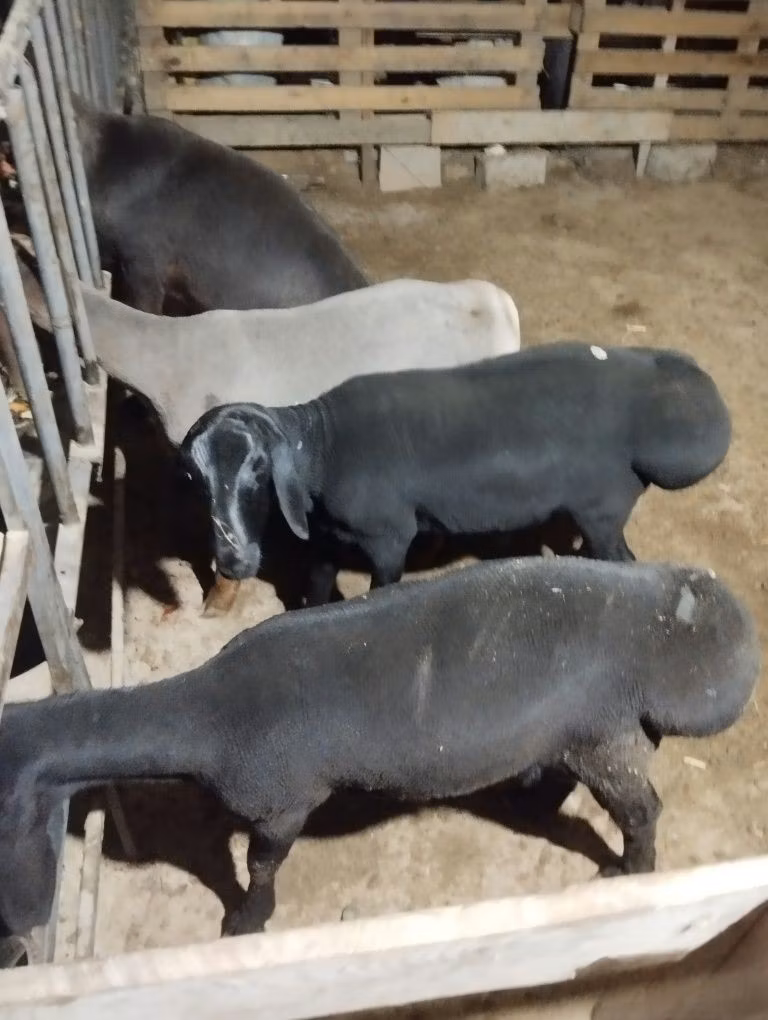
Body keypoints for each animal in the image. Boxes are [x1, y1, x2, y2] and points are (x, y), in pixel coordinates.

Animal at [0, 557, 758, 938]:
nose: (20, 931)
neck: (204, 718)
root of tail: (679, 630)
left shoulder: (282, 798)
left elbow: (261, 864)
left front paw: (247, 921)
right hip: (581, 730)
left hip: (606, 730)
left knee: (641, 808)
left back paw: (630, 872)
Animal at [180, 343, 731, 607]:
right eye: (192, 480)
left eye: (257, 468)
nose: (231, 561)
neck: (321, 447)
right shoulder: (325, 538)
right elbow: (315, 589)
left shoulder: (389, 537)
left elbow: (380, 590)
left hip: (602, 507)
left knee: (626, 562)